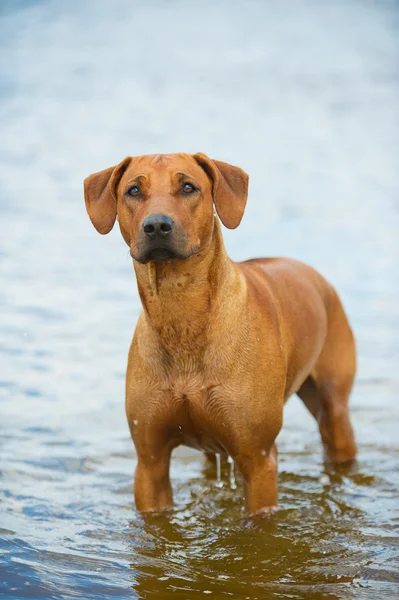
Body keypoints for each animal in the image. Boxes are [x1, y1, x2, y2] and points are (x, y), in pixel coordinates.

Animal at [85, 152, 360, 512]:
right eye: (133, 190)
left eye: (188, 187)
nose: (157, 225)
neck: (181, 315)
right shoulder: (149, 462)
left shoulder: (258, 458)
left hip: (333, 406)